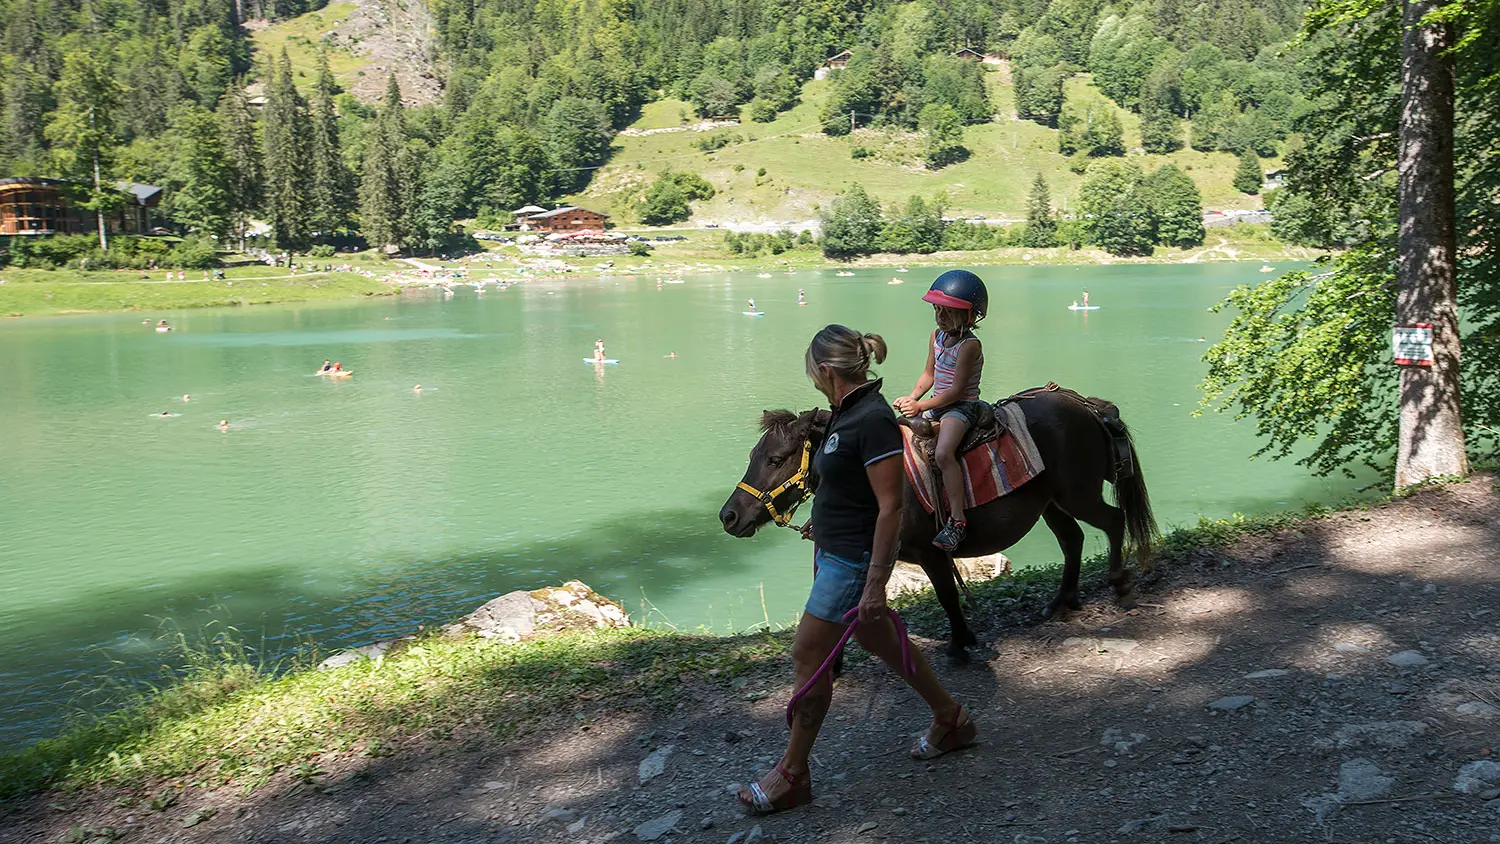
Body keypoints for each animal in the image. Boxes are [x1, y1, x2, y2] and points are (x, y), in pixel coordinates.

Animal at [720, 389, 1152, 659]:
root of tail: (1086, 407)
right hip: (1052, 503)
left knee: (1113, 521)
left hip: (1077, 495)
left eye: (776, 459)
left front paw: (960, 642)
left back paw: (1118, 582)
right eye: (754, 455)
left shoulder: (929, 551)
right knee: (1073, 539)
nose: (729, 516)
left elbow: (946, 595)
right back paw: (1063, 600)